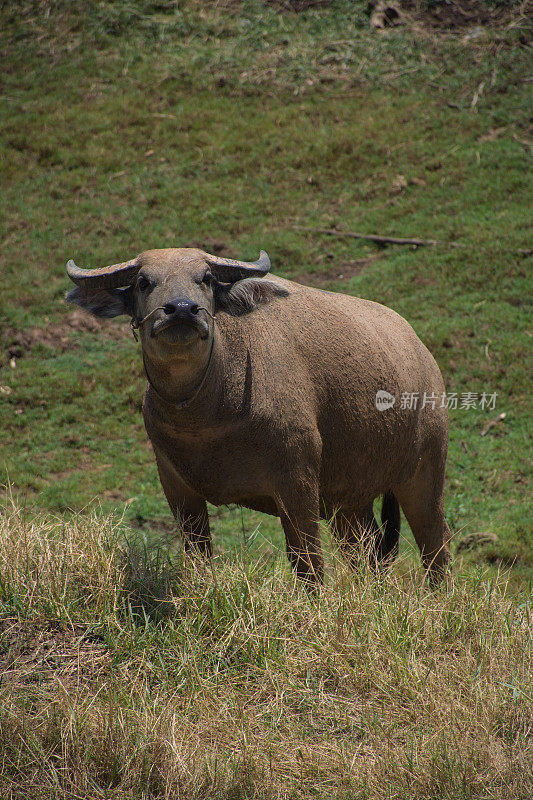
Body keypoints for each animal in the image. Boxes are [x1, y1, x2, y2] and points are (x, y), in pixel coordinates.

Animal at [65, 250, 448, 588]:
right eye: (143, 282)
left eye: (206, 278)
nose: (182, 310)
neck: (206, 417)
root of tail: (423, 356)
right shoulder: (176, 487)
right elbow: (198, 555)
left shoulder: (297, 483)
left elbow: (308, 563)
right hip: (351, 499)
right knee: (366, 549)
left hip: (424, 471)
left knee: (435, 544)